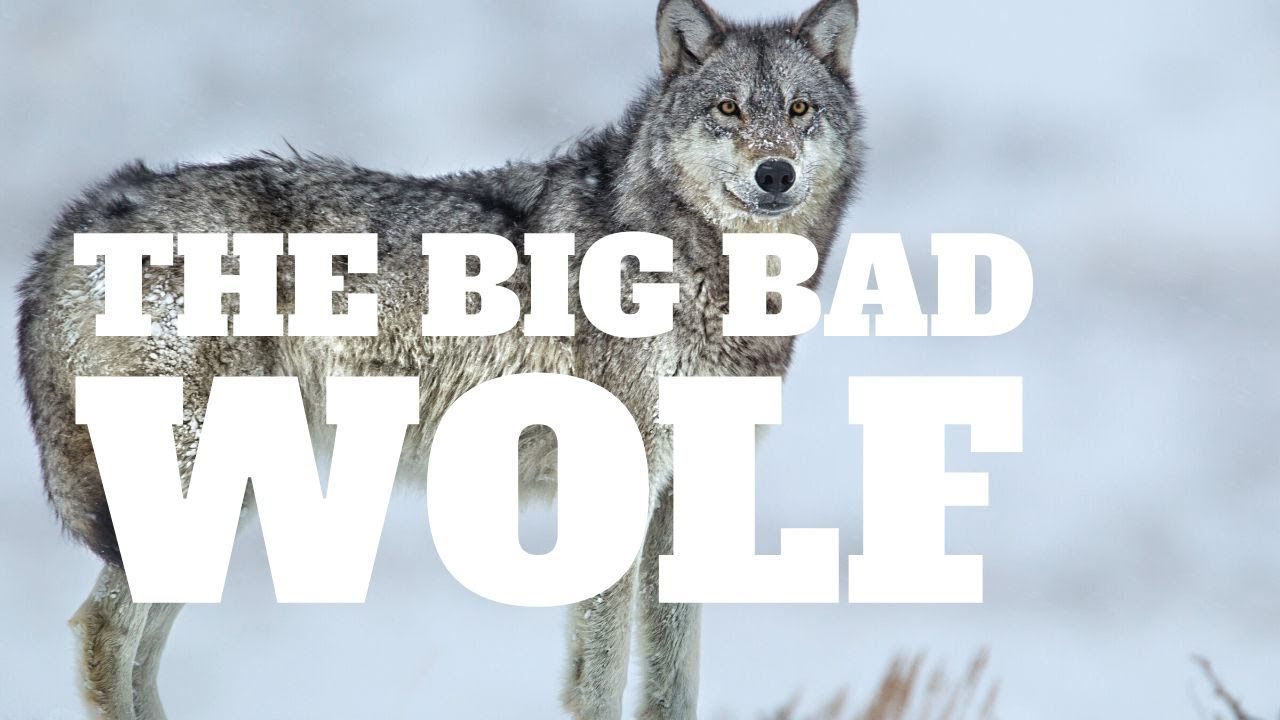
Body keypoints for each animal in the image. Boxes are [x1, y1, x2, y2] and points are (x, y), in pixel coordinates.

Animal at [16, 0, 864, 717]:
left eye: (799, 111)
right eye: (729, 110)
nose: (775, 173)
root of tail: (84, 216)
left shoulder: (683, 503)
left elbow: (671, 682)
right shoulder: (614, 491)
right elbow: (600, 679)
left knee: (140, 654)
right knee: (103, 632)